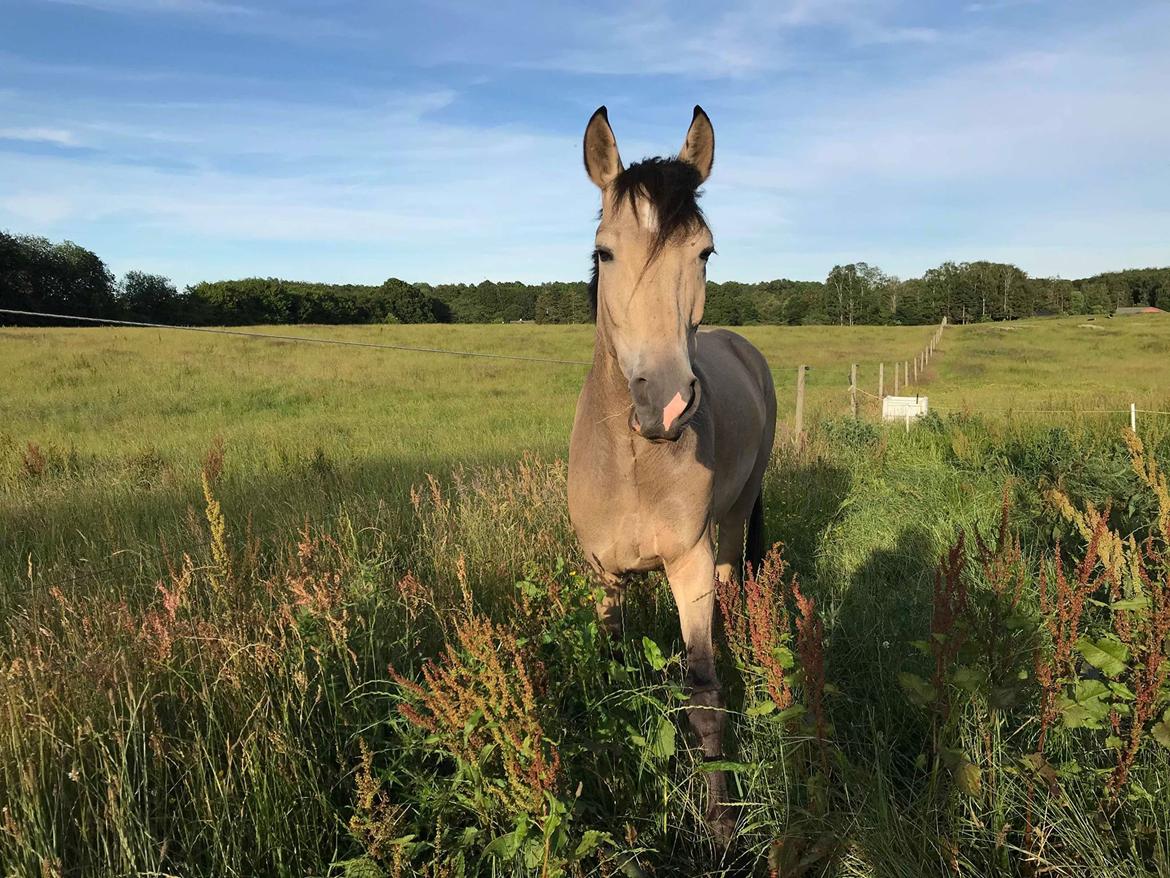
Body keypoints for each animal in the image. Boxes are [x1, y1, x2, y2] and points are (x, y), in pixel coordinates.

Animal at [566, 106, 776, 842]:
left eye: (704, 252)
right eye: (604, 253)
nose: (666, 403)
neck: (635, 464)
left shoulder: (689, 564)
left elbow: (703, 691)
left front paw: (721, 825)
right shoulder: (602, 575)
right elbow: (605, 677)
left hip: (735, 518)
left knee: (734, 574)